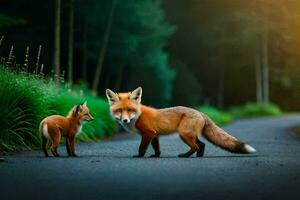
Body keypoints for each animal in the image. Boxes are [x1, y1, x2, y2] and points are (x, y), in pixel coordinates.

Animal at [105, 87, 255, 158]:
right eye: (119, 110)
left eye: (130, 110)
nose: (125, 120)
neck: (137, 116)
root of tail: (200, 112)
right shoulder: (155, 135)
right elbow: (157, 148)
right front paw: (156, 156)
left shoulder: (148, 133)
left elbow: (142, 148)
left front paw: (139, 156)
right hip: (190, 134)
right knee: (202, 145)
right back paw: (199, 156)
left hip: (184, 134)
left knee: (196, 146)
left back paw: (185, 156)